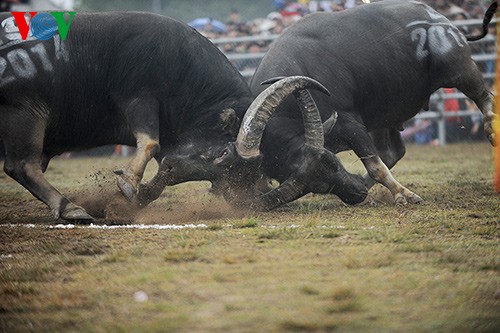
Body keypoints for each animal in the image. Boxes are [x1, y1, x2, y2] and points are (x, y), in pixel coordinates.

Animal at [247, 0, 500, 205]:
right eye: (313, 186)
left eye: (332, 162)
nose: (356, 194)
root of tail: (441, 19)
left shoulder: (350, 122)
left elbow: (375, 165)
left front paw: (405, 195)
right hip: (385, 115)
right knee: (393, 152)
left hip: (460, 69)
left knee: (485, 97)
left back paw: (491, 131)